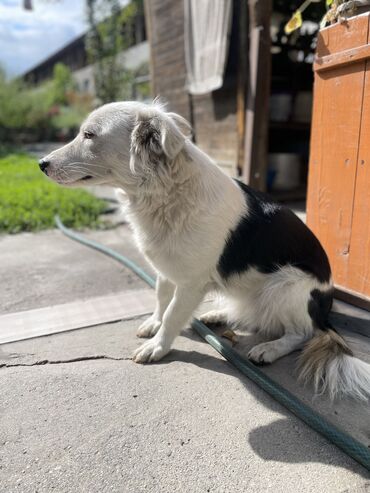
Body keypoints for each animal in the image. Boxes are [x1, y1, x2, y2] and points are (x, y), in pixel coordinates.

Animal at [40, 100, 370, 400]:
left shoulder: (191, 283)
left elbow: (173, 314)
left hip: (285, 285)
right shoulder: (167, 267)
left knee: (302, 332)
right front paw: (154, 323)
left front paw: (158, 346)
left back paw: (270, 348)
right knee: (254, 315)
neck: (165, 193)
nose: (41, 164)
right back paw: (218, 315)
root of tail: (325, 308)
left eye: (89, 135)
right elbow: (161, 299)